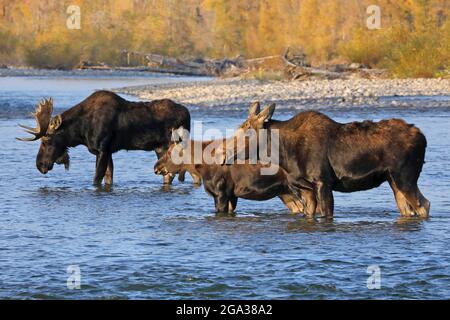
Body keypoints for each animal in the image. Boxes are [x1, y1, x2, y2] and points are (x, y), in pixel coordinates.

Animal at [16, 90, 190, 185]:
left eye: (46, 140)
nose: (40, 165)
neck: (79, 131)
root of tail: (188, 114)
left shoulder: (102, 149)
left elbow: (96, 178)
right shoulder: (108, 151)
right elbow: (108, 177)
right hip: (160, 148)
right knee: (168, 175)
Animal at [153, 127, 314, 215]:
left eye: (170, 152)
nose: (156, 168)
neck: (202, 166)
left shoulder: (221, 193)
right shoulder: (232, 196)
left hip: (299, 188)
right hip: (284, 192)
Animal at [216, 102, 430, 218]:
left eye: (247, 132)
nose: (219, 153)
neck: (283, 152)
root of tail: (423, 138)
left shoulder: (323, 182)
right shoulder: (306, 189)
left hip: (405, 177)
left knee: (424, 205)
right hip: (393, 180)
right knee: (408, 209)